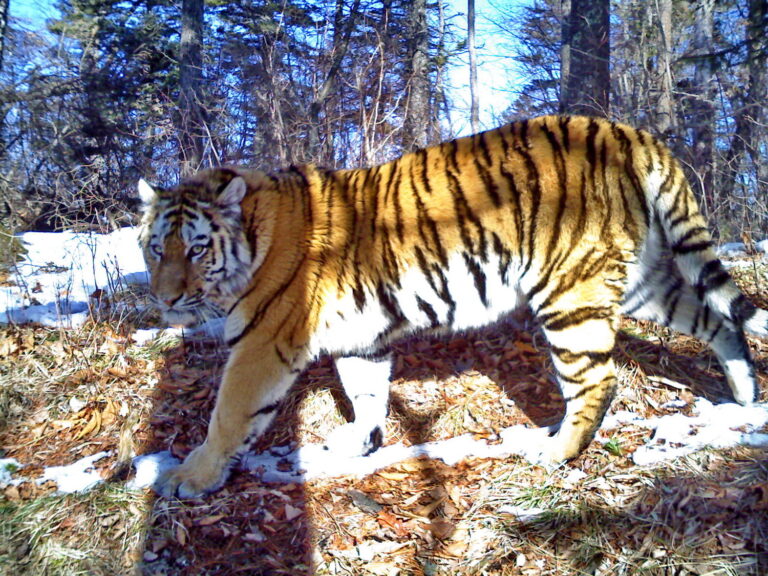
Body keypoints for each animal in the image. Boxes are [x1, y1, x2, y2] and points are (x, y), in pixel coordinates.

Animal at [138, 115, 767, 498]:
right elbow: (366, 393)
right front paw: (360, 443)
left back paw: (553, 453)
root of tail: (626, 131)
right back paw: (743, 398)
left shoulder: (262, 344)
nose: (164, 299)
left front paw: (189, 477)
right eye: (154, 247)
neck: (255, 240)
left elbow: (228, 414)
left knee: (597, 381)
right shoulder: (360, 337)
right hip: (640, 280)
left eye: (195, 248)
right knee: (716, 319)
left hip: (569, 290)